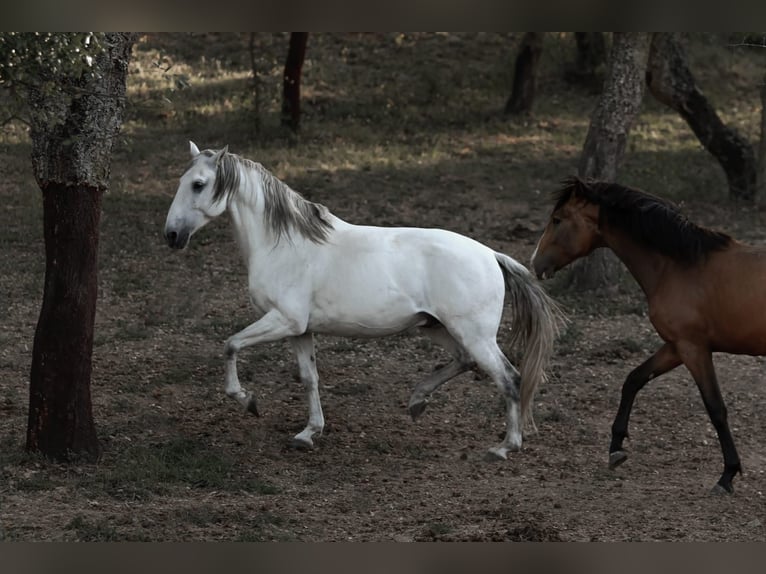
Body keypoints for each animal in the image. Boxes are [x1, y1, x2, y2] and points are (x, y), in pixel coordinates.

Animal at [166, 145, 564, 464]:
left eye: (198, 184)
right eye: (182, 180)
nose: (171, 235)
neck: (286, 245)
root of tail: (491, 255)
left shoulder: (283, 321)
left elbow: (230, 345)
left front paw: (248, 401)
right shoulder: (300, 330)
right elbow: (309, 378)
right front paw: (308, 433)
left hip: (474, 335)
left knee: (509, 378)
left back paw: (504, 447)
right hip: (439, 328)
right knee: (465, 362)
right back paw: (417, 402)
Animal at [536, 177, 766, 496]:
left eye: (557, 219)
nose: (535, 263)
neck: (679, 266)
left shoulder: (693, 348)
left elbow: (716, 408)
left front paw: (727, 476)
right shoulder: (675, 347)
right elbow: (633, 379)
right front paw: (616, 449)